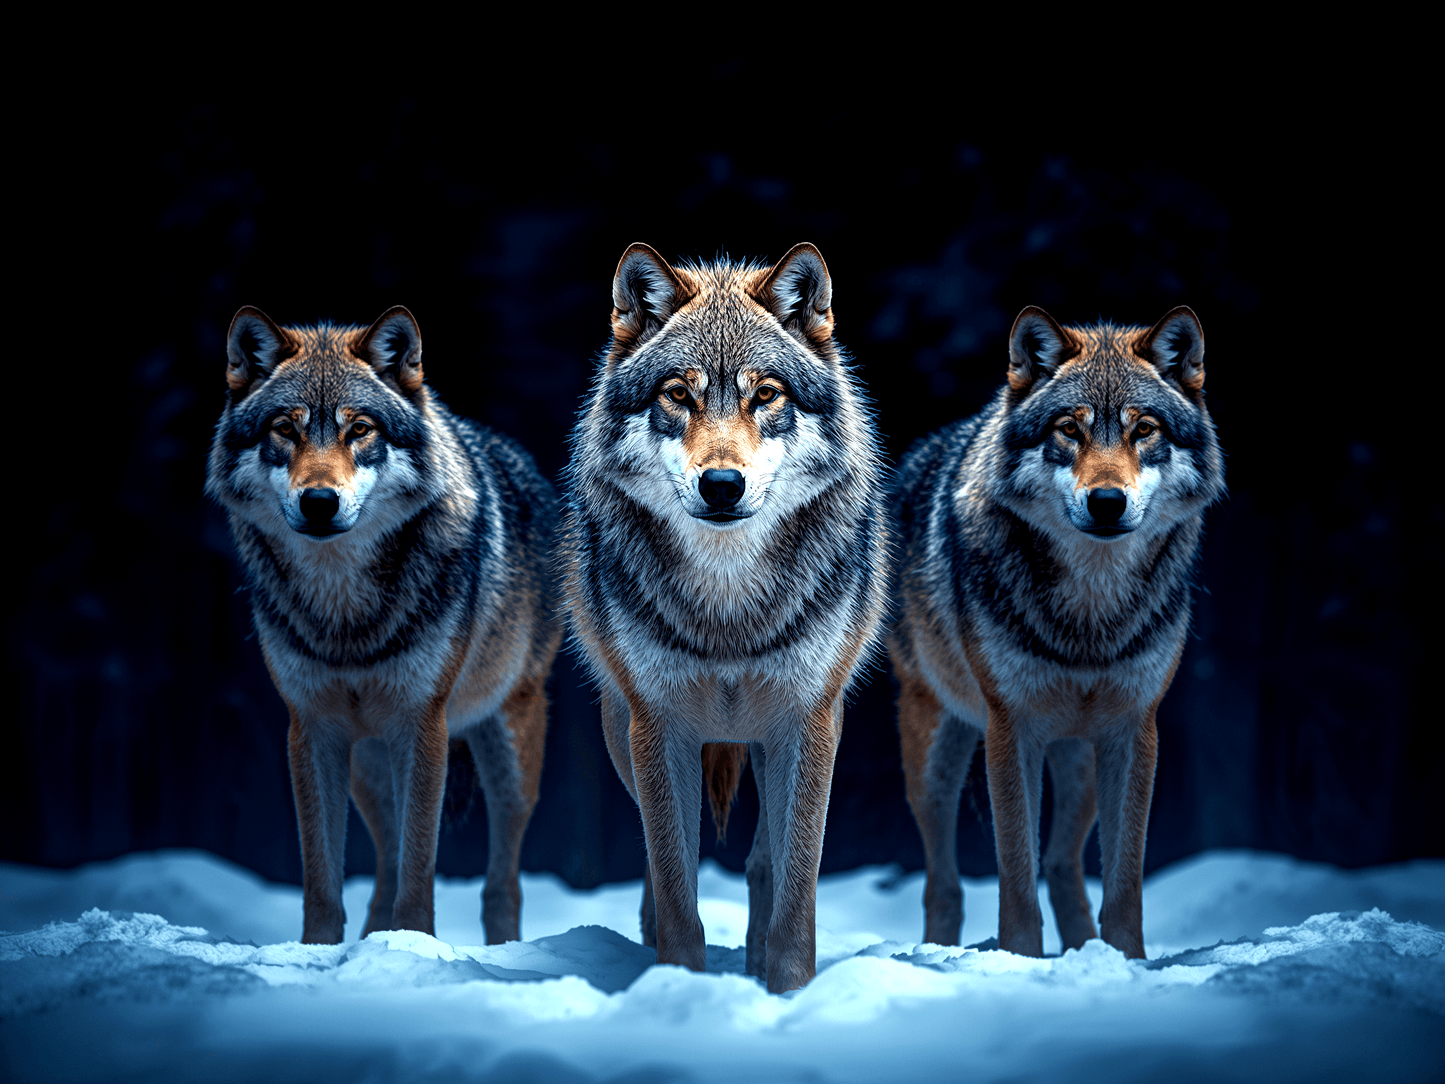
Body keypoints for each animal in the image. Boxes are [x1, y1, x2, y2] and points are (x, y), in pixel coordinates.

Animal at [206, 305, 560, 945]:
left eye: (361, 430)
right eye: (285, 429)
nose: (319, 501)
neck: (346, 615)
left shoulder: (422, 725)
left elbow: (420, 870)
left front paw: (417, 945)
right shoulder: (311, 727)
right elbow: (324, 877)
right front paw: (319, 951)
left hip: (509, 751)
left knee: (501, 882)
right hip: (368, 767)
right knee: (385, 868)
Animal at [561, 243, 890, 992]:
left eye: (764, 394)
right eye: (677, 395)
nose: (720, 485)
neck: (728, 607)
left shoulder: (809, 720)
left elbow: (797, 888)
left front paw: (787, 989)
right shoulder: (658, 726)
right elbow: (675, 880)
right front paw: (678, 985)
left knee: (764, 860)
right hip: (621, 735)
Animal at [888, 306, 1223, 958]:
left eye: (1144, 430)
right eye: (1070, 429)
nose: (1107, 501)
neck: (1089, 617)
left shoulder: (1133, 730)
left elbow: (1124, 877)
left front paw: (1126, 960)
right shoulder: (1010, 729)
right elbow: (1015, 873)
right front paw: (1021, 957)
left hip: (1080, 760)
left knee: (1065, 865)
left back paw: (1085, 949)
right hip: (934, 755)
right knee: (944, 881)